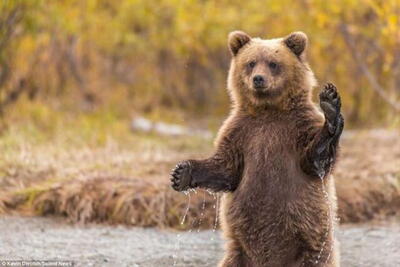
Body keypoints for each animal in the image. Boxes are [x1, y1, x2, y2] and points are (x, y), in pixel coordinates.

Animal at [170, 30, 342, 267]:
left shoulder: (298, 128)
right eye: (251, 63)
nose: (258, 79)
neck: (267, 110)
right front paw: (181, 174)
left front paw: (331, 106)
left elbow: (316, 160)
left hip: (312, 251)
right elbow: (226, 169)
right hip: (238, 254)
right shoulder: (241, 132)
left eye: (273, 63)